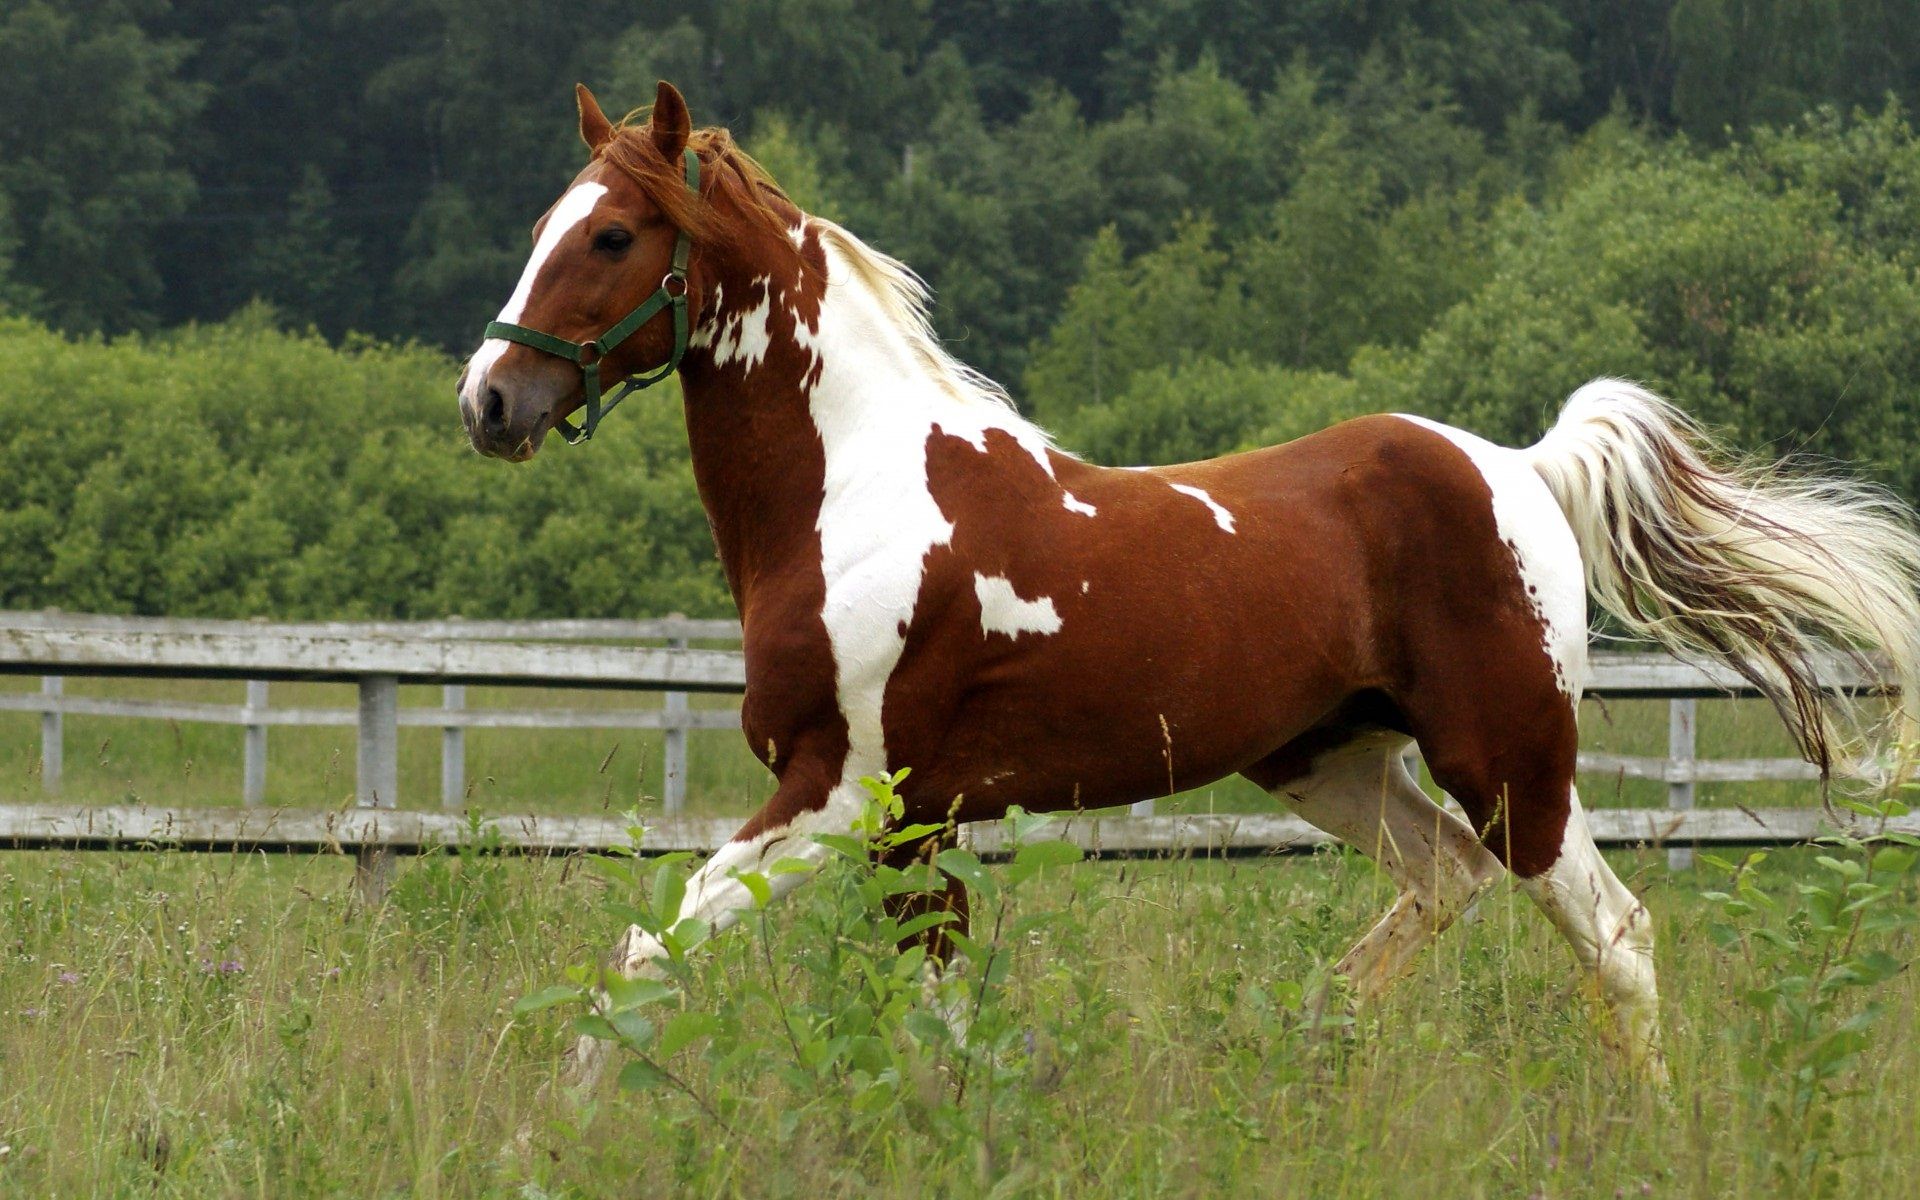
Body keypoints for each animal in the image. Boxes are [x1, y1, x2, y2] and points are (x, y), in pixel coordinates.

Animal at [458, 81, 1920, 1082]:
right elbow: (926, 1015)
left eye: (615, 235)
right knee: (1440, 889)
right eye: (542, 224)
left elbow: (649, 956)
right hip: (1326, 758)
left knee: (1614, 937)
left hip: (1511, 762)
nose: (489, 401)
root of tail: (1521, 468)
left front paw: (559, 1124)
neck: (852, 497)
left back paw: (1641, 1120)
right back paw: (1311, 1052)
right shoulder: (914, 826)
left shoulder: (840, 792)